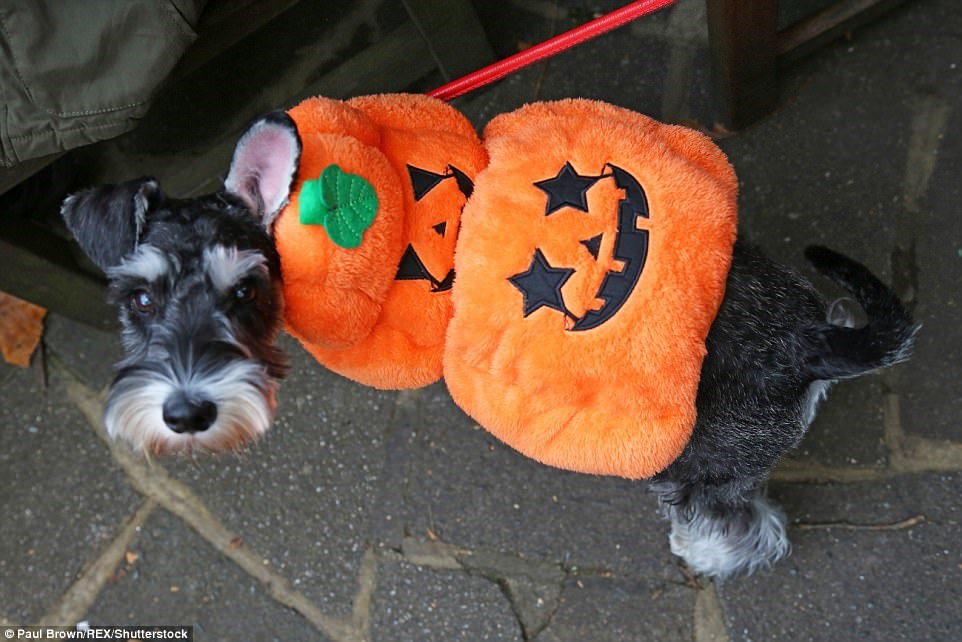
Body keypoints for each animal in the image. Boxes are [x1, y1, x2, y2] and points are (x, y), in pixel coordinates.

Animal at [60, 112, 916, 576]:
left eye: (245, 293)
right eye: (139, 297)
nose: (187, 413)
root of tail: (809, 341)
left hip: (696, 468)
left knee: (746, 528)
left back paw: (702, 553)